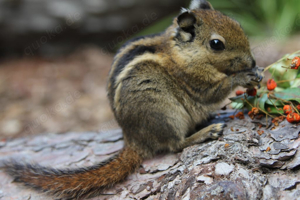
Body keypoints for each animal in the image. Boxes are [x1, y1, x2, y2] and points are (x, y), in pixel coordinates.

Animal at [4, 0, 262, 199]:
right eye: (216, 44)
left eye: (238, 25)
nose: (252, 61)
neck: (180, 51)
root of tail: (134, 140)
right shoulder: (194, 80)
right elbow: (214, 90)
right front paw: (243, 76)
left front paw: (257, 73)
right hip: (164, 112)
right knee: (175, 144)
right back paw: (203, 133)